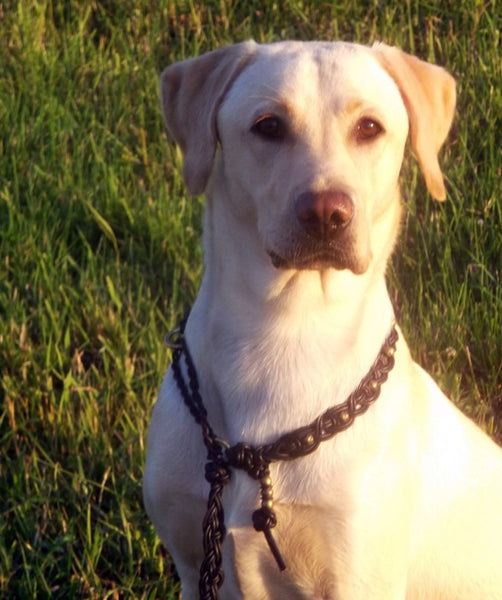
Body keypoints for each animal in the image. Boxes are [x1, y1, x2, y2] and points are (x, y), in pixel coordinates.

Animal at [143, 39, 502, 596]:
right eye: (268, 125)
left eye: (370, 127)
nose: (327, 213)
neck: (285, 330)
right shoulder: (192, 563)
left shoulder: (358, 576)